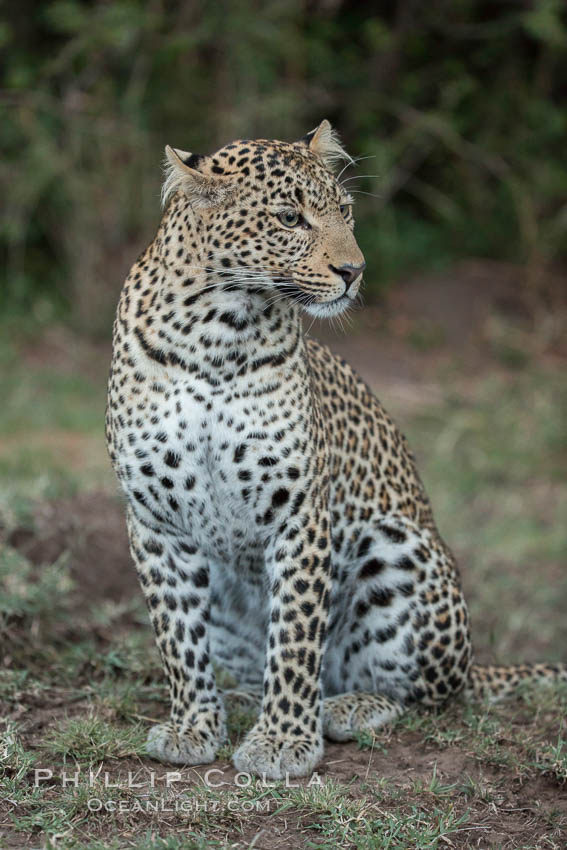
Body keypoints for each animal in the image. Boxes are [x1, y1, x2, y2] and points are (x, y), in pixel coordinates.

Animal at [104, 122, 564, 780]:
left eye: (343, 210)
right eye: (289, 218)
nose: (354, 269)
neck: (216, 332)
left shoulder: (298, 510)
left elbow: (296, 638)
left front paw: (283, 743)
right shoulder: (154, 519)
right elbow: (177, 636)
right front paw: (195, 727)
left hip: (397, 549)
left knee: (419, 695)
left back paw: (344, 707)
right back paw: (242, 699)